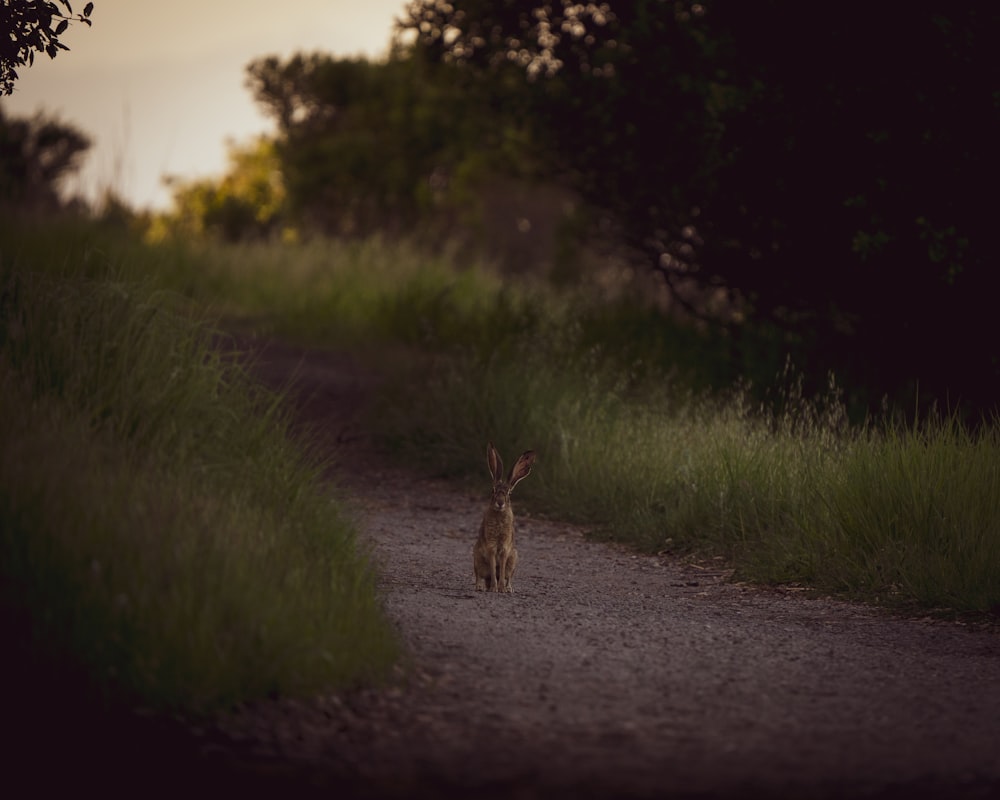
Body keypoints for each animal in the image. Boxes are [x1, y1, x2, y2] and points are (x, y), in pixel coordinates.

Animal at [472, 440, 536, 592]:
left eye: (509, 494)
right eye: (492, 491)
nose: (500, 503)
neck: (499, 515)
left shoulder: (505, 549)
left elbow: (500, 569)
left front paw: (500, 588)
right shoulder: (491, 547)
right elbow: (493, 566)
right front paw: (494, 588)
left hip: (513, 560)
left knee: (508, 577)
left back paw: (508, 589)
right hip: (477, 558)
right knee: (479, 575)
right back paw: (481, 587)